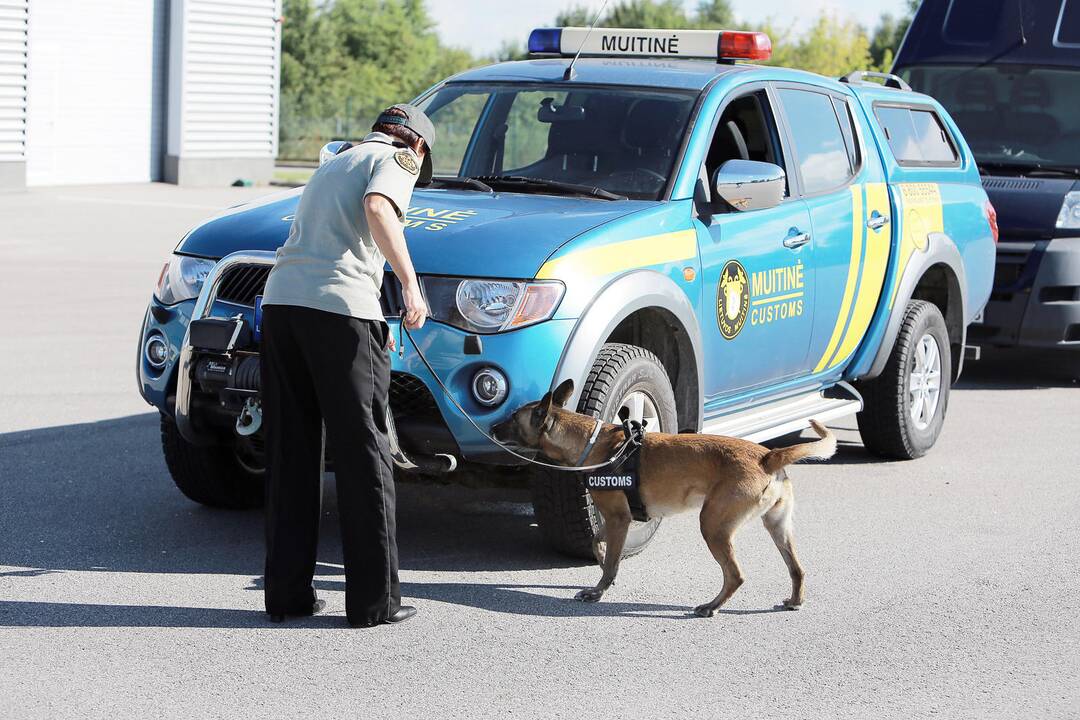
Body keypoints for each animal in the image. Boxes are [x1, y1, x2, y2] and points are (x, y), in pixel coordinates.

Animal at [490, 379, 833, 617]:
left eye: (513, 418)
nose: (492, 427)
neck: (591, 441)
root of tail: (768, 456)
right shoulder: (617, 519)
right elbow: (599, 544)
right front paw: (603, 567)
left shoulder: (619, 518)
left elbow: (611, 561)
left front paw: (599, 590)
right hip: (777, 527)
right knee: (797, 569)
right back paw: (794, 600)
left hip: (713, 526)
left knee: (735, 575)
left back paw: (711, 606)